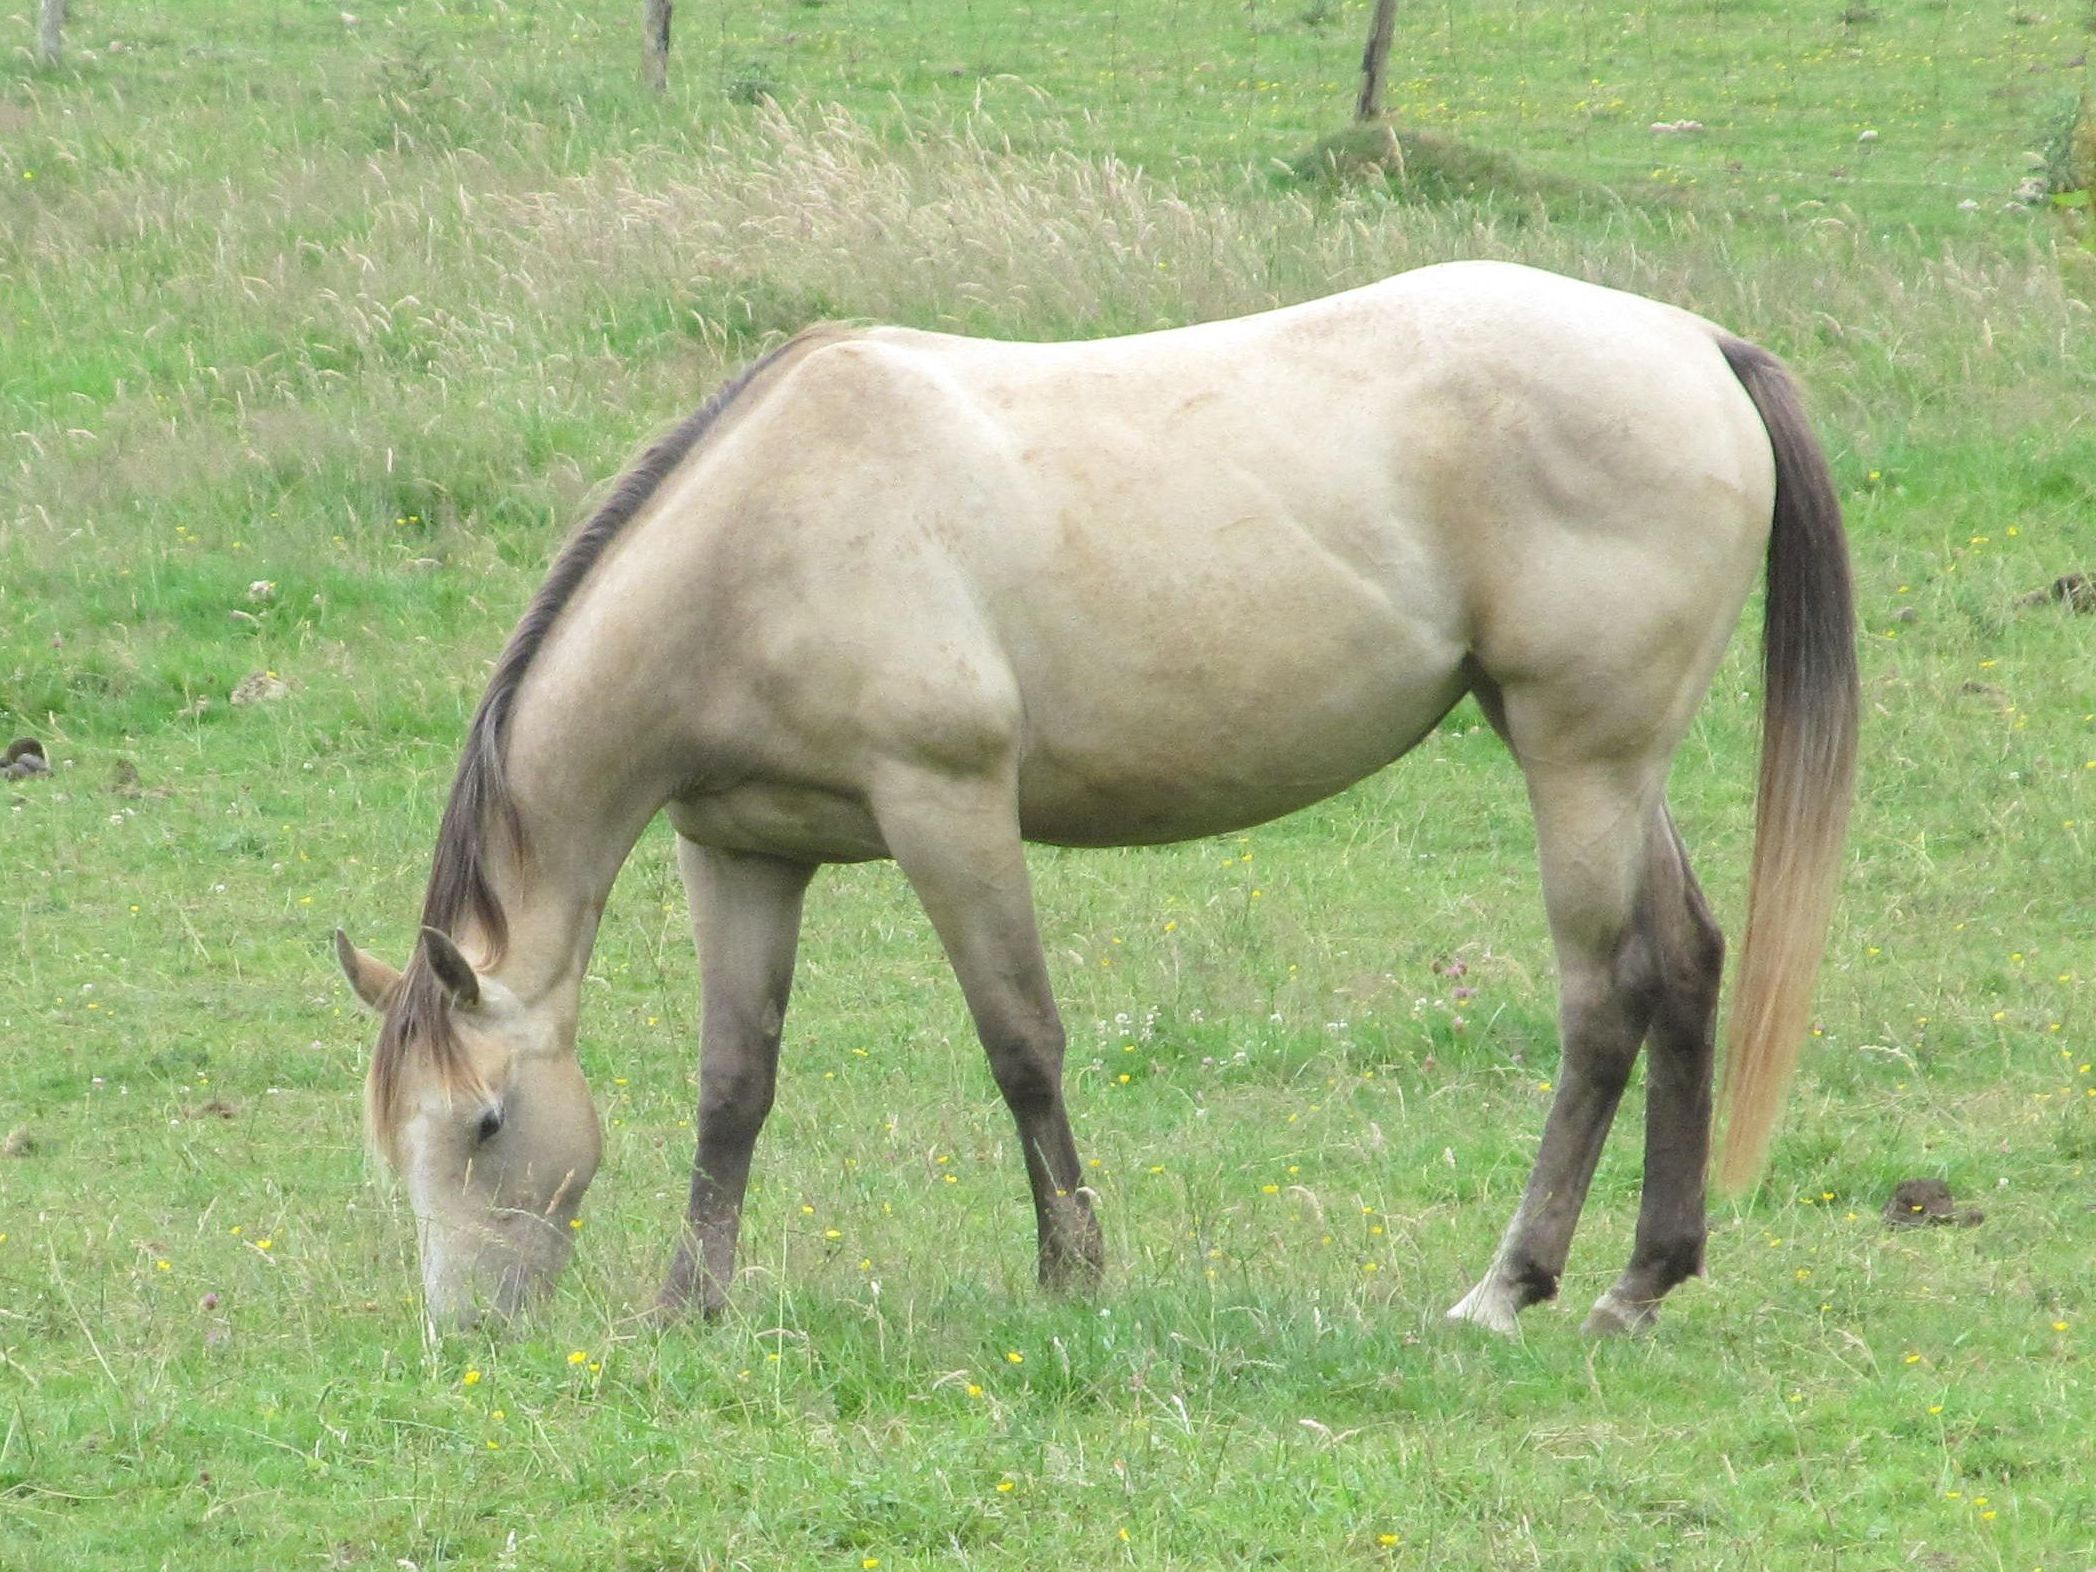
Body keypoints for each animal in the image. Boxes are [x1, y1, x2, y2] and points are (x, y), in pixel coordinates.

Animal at [335, 262, 1861, 1341]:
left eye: (482, 1125)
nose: (470, 1336)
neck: (761, 540)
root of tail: (1689, 341)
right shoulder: (741, 855)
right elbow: (733, 1083)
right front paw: (687, 1303)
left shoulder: (947, 809)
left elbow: (1022, 1046)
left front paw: (1073, 1274)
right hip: (1605, 762)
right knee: (1685, 963)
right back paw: (1641, 1280)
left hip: (1578, 760)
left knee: (1606, 998)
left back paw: (1508, 1285)